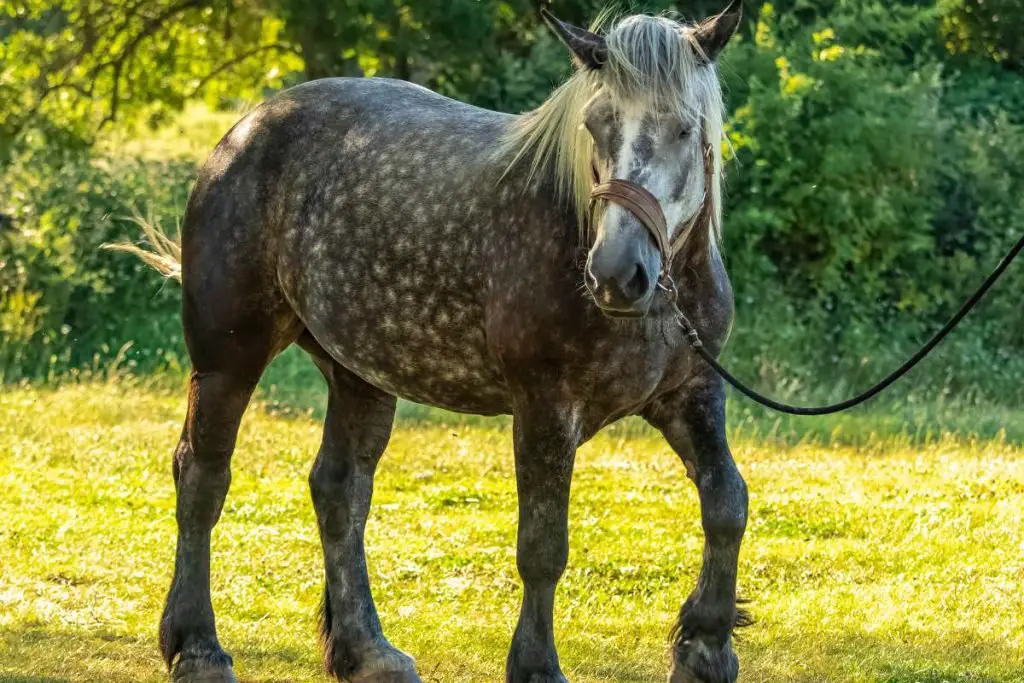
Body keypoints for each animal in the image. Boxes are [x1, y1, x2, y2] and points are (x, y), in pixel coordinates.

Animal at [130, 5, 753, 683]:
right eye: (595, 126)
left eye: (686, 129)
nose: (616, 274)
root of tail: (244, 131)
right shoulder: (544, 408)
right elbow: (542, 548)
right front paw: (537, 666)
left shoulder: (692, 393)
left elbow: (727, 503)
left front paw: (706, 646)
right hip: (228, 360)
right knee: (203, 478)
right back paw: (198, 647)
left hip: (358, 373)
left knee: (339, 490)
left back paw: (367, 652)